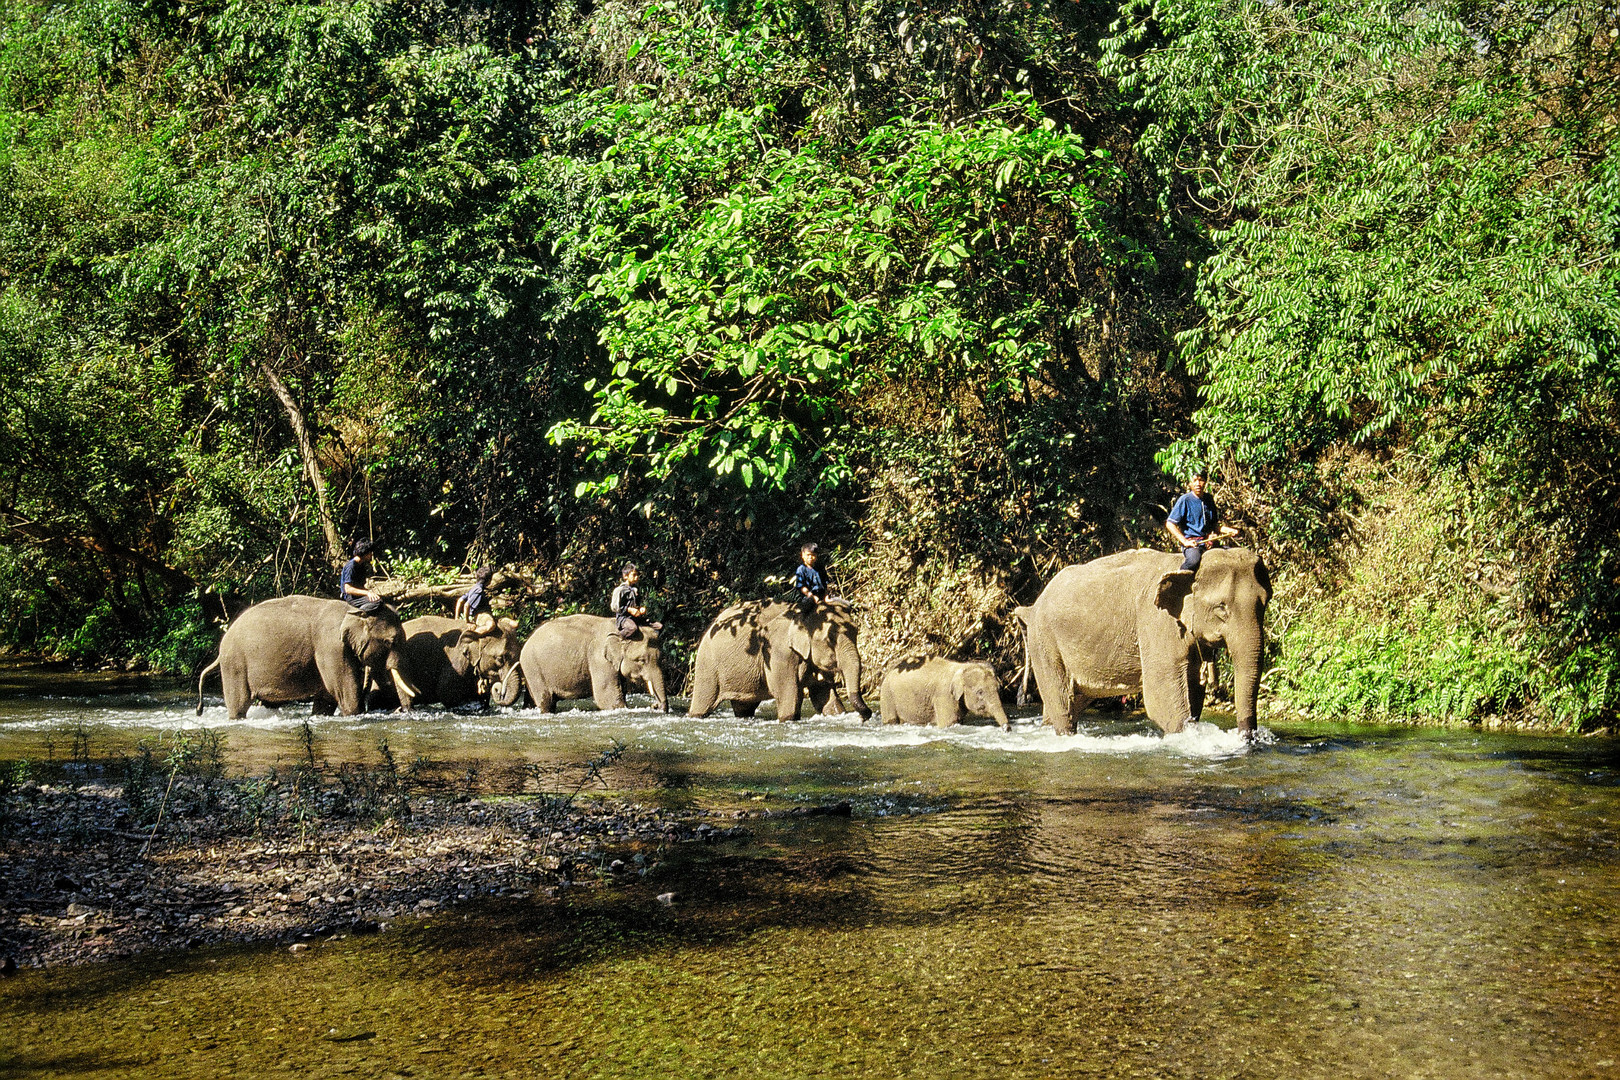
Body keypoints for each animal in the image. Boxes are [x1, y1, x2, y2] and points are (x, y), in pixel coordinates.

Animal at [195, 595, 421, 722]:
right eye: (391, 641)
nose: (403, 711)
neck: (354, 611)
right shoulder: (331, 647)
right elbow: (344, 692)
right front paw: (353, 714)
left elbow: (327, 697)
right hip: (235, 664)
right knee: (239, 704)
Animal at [521, 612, 667, 712]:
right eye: (641, 660)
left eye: (661, 658)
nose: (655, 706)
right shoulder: (599, 659)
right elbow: (607, 698)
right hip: (533, 669)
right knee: (546, 702)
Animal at [690, 595, 874, 722]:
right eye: (829, 639)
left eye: (856, 632)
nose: (866, 716)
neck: (803, 614)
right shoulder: (778, 653)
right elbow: (788, 700)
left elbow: (825, 697)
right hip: (707, 664)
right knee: (702, 704)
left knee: (744, 708)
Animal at [1017, 544, 1270, 738]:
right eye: (1221, 607)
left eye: (1265, 602)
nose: (1247, 738)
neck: (1184, 566)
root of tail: (1031, 608)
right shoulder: (1156, 621)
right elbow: (1161, 698)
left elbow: (1194, 691)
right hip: (1045, 644)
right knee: (1062, 706)